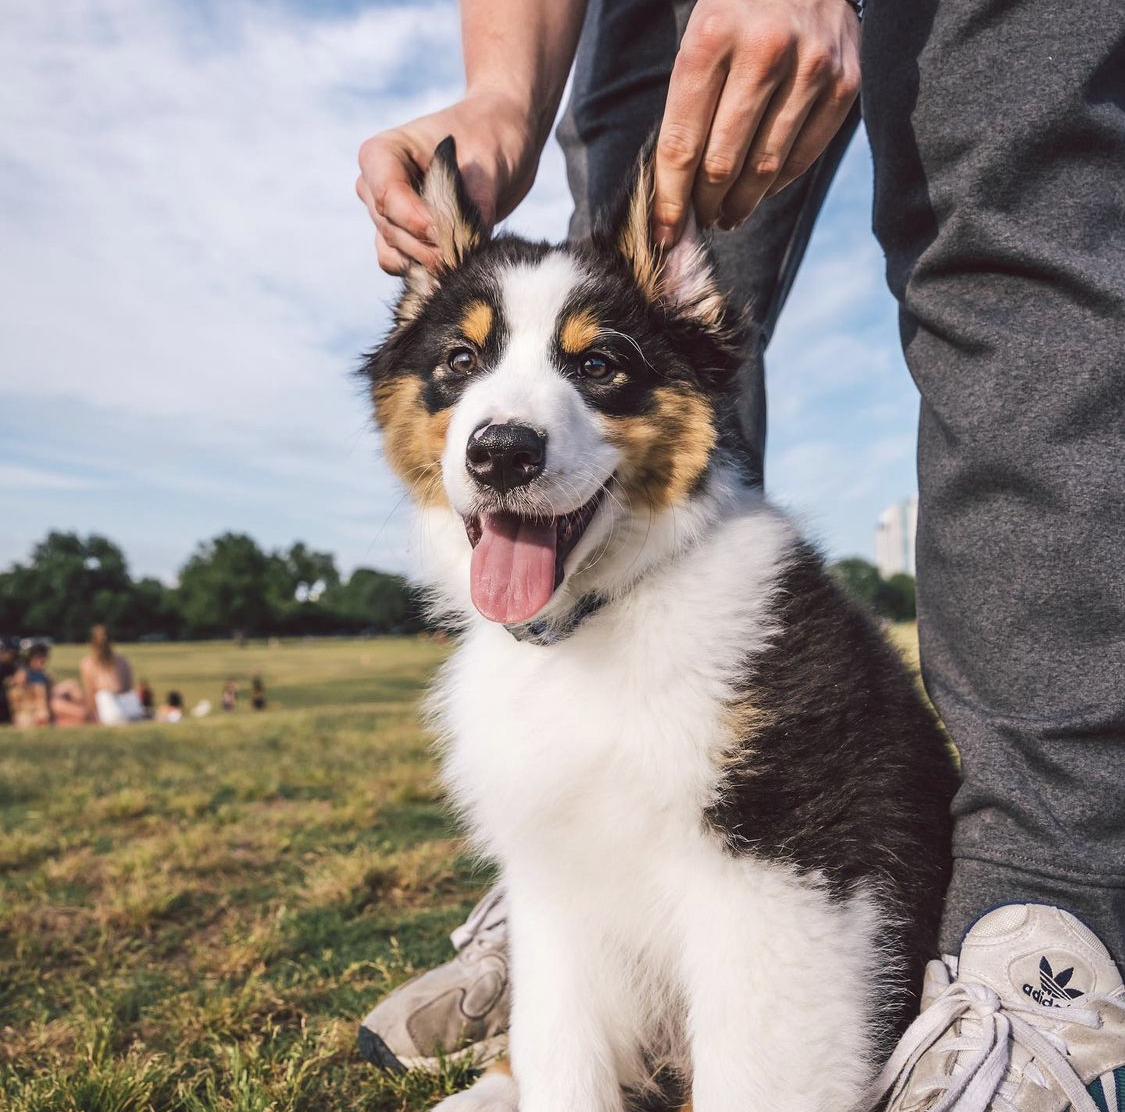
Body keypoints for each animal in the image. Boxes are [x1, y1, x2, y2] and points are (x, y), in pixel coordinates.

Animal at [362, 139, 958, 1112]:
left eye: (600, 365)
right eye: (459, 358)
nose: (500, 453)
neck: (596, 623)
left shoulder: (784, 883)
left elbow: (755, 1075)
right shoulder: (554, 884)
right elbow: (561, 1052)